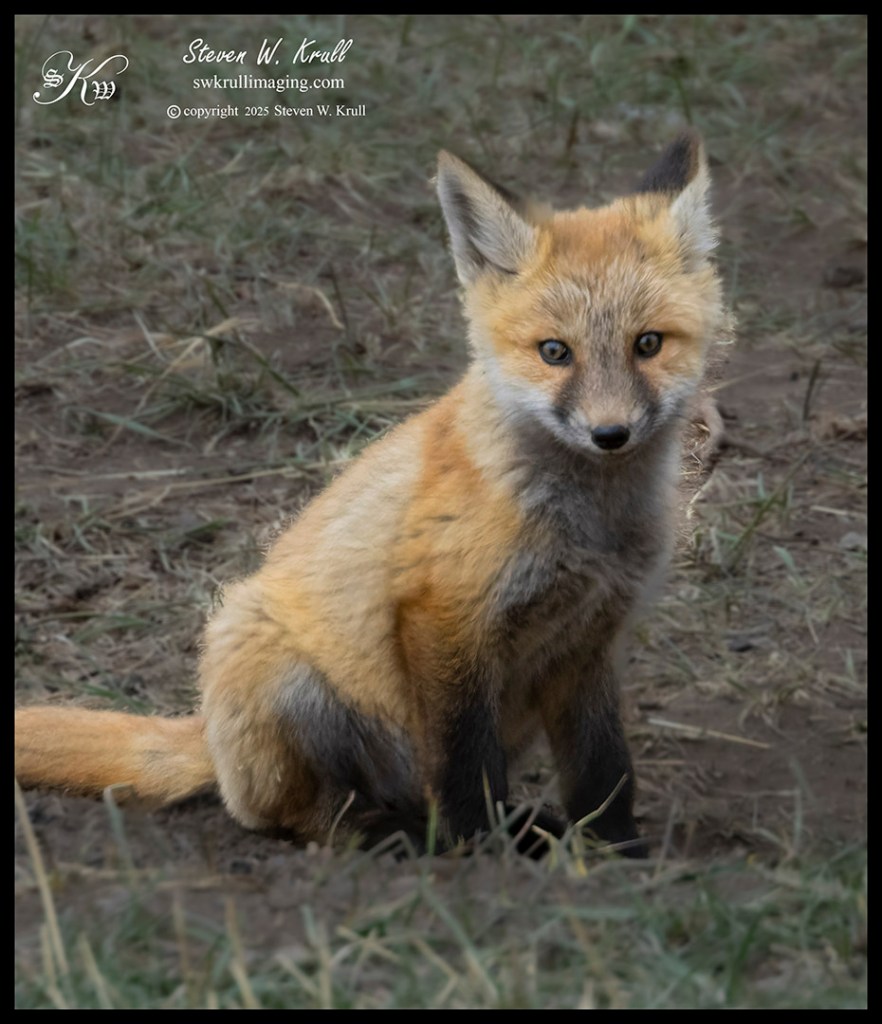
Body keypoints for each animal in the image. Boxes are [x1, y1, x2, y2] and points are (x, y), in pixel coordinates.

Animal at [15, 131, 729, 858]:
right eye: (555, 352)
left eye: (648, 344)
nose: (610, 434)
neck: (590, 528)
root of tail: (211, 742)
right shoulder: (443, 617)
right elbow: (466, 766)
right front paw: (478, 852)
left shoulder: (591, 639)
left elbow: (604, 769)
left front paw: (618, 852)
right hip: (280, 671)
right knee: (301, 820)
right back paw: (404, 835)